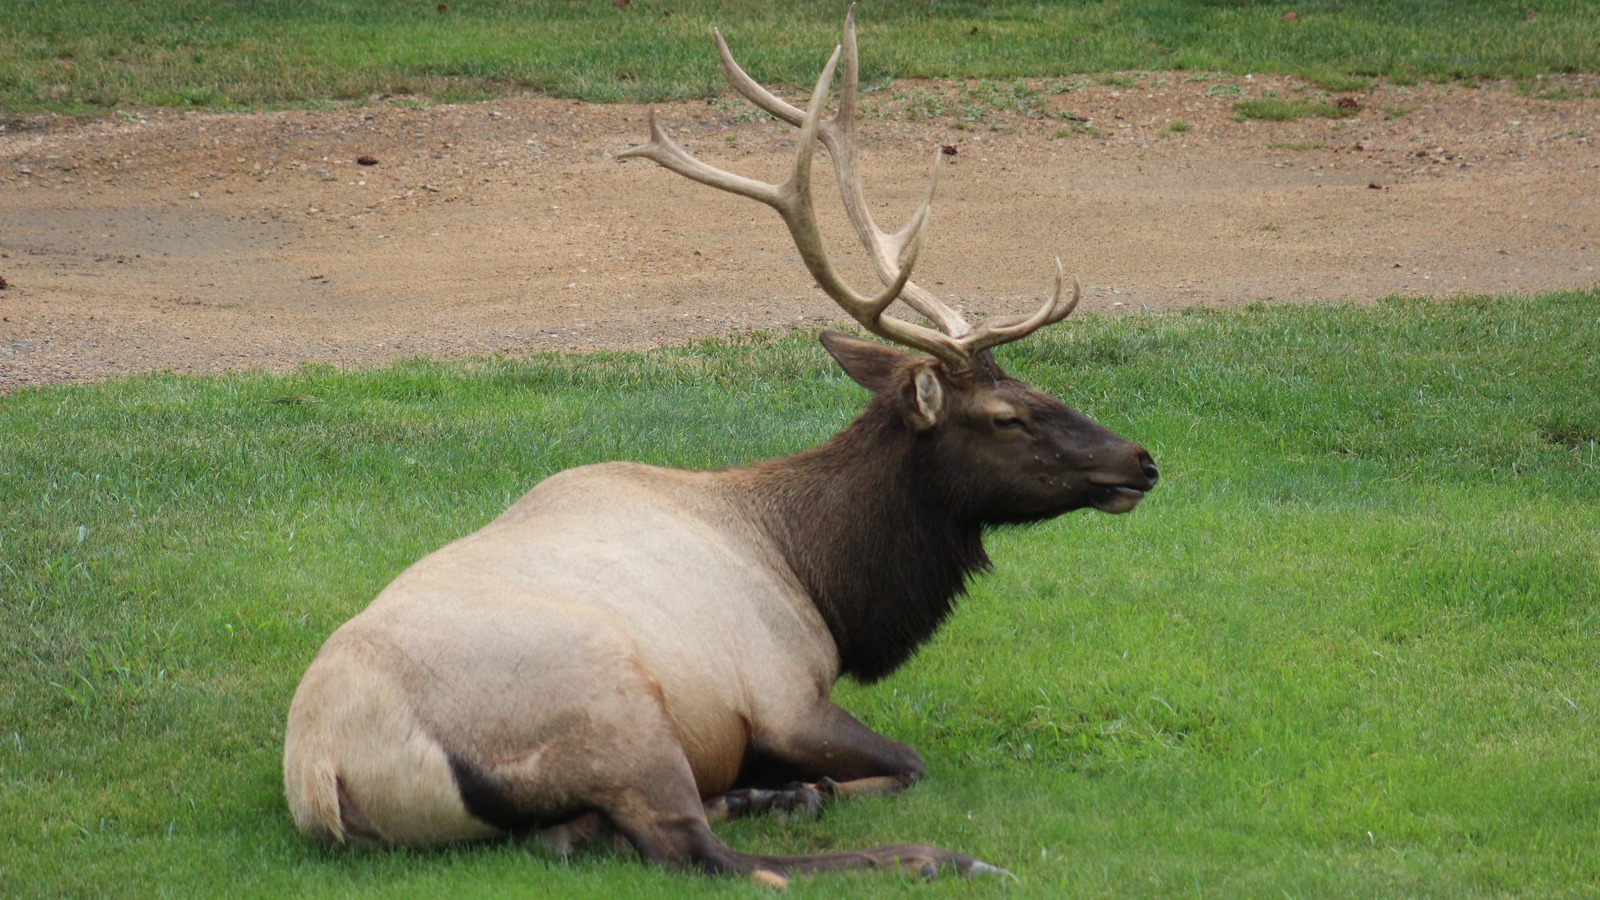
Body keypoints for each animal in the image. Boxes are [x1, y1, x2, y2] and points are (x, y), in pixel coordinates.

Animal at [283, 5, 1158, 885]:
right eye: (1009, 416)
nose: (1141, 460)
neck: (824, 580)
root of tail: (327, 774)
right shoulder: (785, 698)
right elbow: (909, 762)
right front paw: (804, 791)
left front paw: (782, 790)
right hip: (614, 706)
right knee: (701, 851)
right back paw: (925, 852)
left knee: (571, 836)